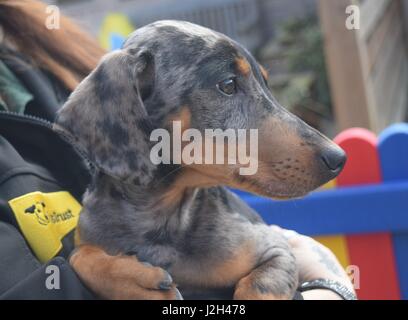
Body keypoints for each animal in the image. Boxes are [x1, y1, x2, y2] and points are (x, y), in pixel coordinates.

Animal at [54, 20, 346, 300]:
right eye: (228, 85)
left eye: (266, 83)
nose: (339, 158)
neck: (164, 217)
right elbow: (79, 255)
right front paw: (136, 283)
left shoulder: (276, 249)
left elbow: (259, 287)